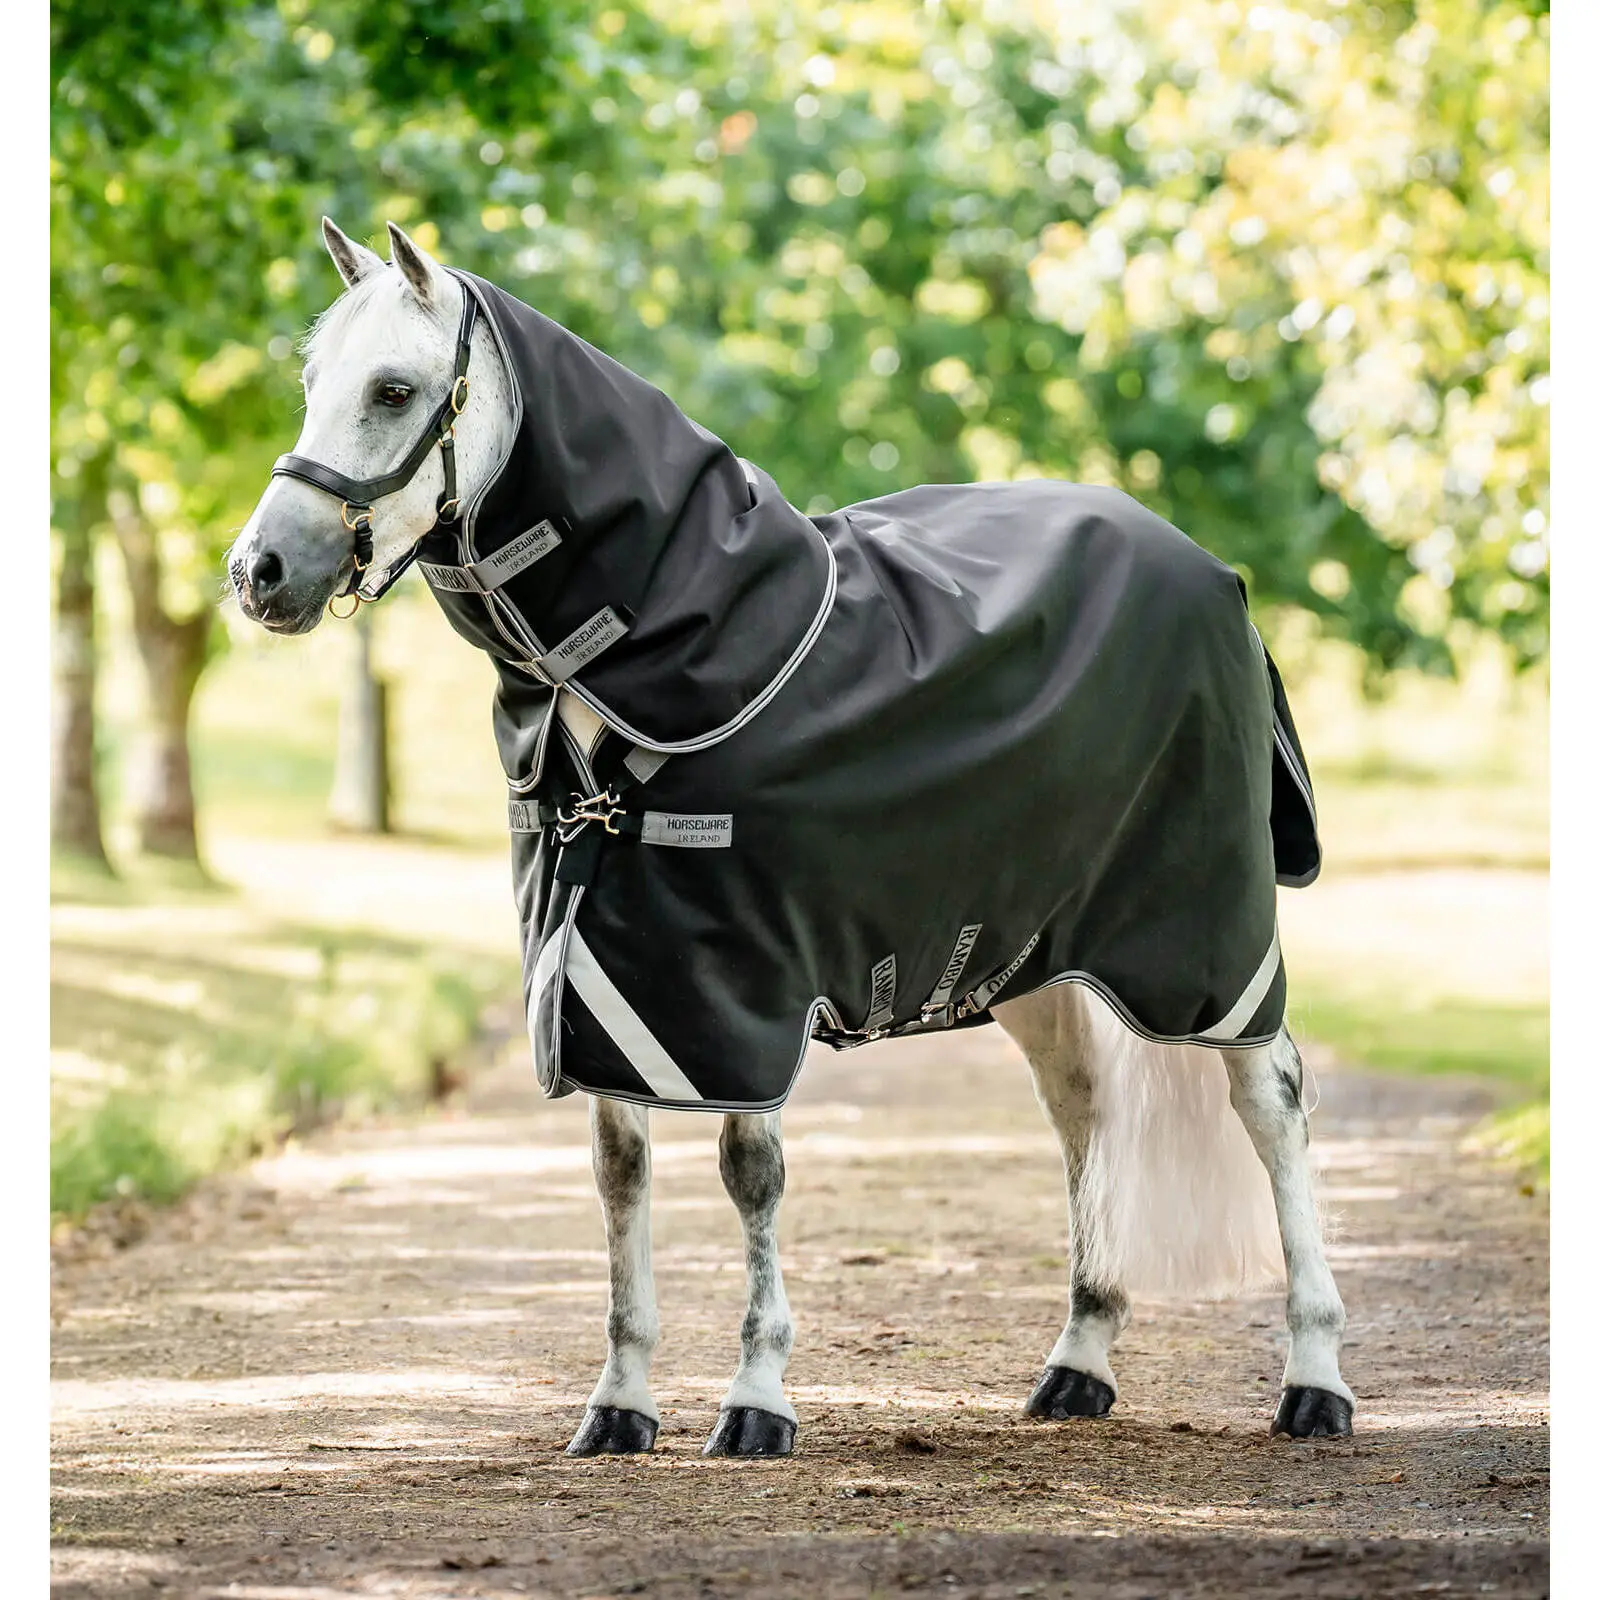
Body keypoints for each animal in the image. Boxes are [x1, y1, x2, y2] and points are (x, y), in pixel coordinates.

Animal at [226, 218, 1354, 1458]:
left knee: (1273, 1107)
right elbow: (621, 1172)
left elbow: (747, 1170)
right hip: (1037, 950)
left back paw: (1314, 1378)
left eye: (393, 389)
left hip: (1205, 943)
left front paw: (756, 1398)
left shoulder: (742, 983)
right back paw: (1078, 1362)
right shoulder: (615, 974)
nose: (259, 572)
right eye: (309, 383)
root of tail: (1211, 571)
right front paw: (618, 1403)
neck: (673, 656)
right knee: (1080, 1110)